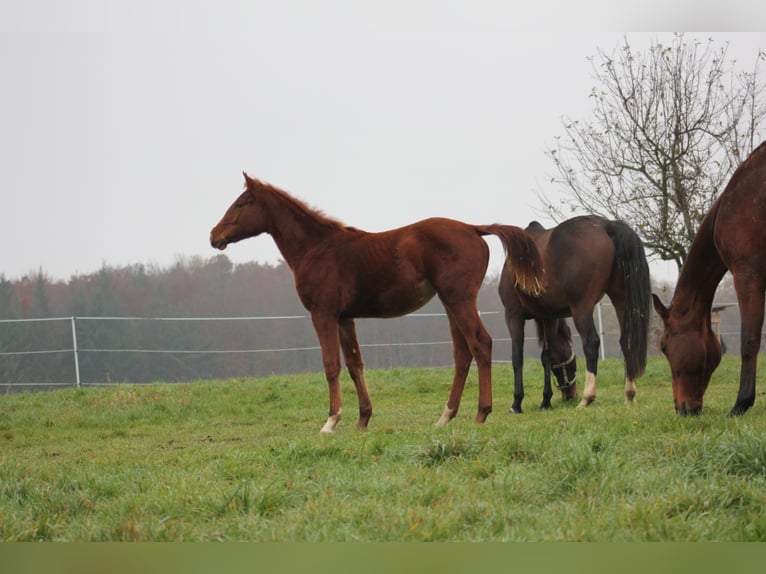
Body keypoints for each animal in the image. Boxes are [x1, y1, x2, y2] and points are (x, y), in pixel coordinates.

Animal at [210, 173, 544, 433]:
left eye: (240, 203)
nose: (214, 236)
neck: (317, 248)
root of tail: (474, 228)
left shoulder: (323, 313)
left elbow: (331, 364)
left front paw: (330, 422)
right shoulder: (345, 317)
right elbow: (355, 364)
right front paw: (363, 419)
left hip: (459, 299)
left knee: (480, 344)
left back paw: (481, 414)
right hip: (451, 303)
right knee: (462, 354)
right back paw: (445, 416)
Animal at [499, 216, 651, 413]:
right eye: (570, 363)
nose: (571, 394)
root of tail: (606, 225)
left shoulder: (513, 313)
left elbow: (517, 356)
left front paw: (516, 403)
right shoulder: (548, 317)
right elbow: (546, 357)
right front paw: (546, 401)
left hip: (582, 308)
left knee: (591, 342)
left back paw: (587, 398)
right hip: (621, 300)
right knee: (627, 341)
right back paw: (629, 394)